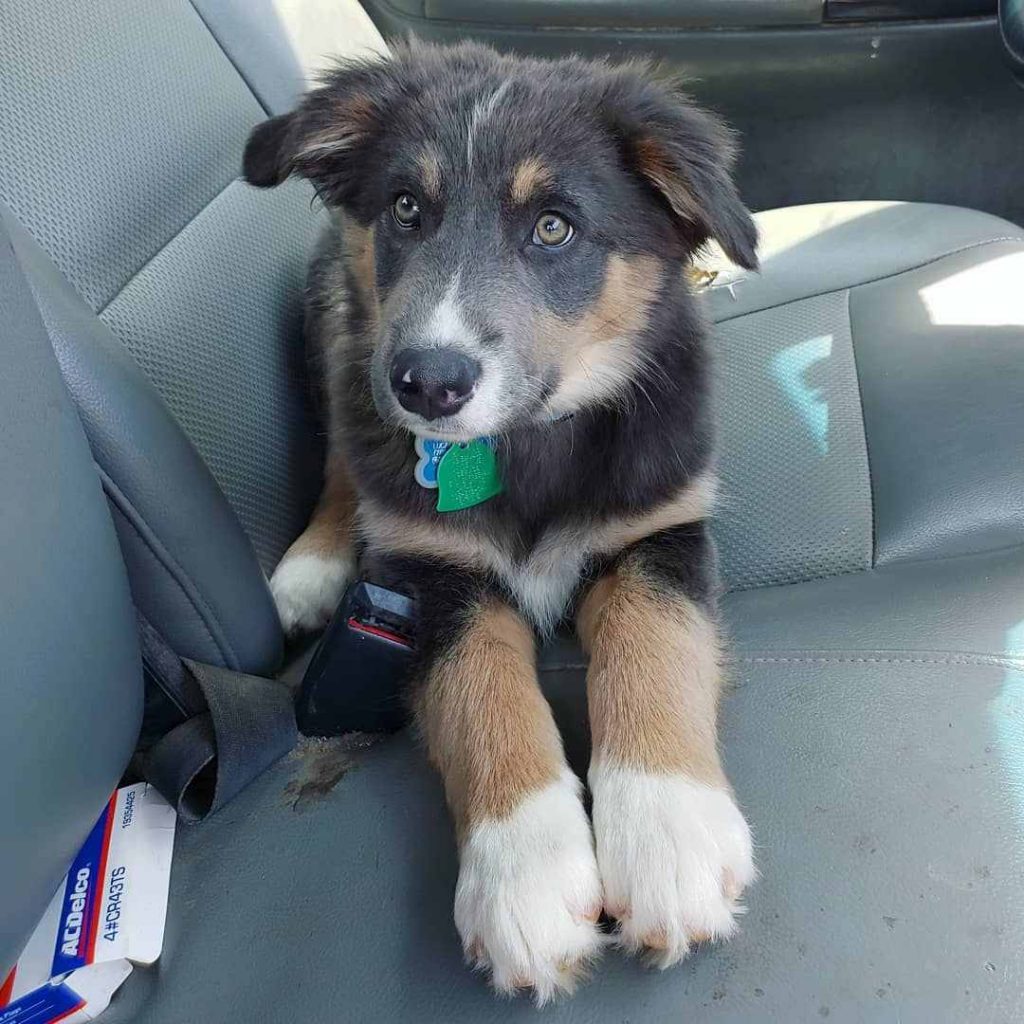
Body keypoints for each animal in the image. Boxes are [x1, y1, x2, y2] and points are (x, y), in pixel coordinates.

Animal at [245, 41, 761, 1007]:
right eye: (406, 209)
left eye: (554, 228)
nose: (427, 383)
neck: (523, 446)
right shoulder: (432, 576)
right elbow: (480, 688)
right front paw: (525, 876)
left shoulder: (660, 531)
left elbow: (656, 644)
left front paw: (667, 833)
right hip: (339, 318)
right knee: (341, 443)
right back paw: (313, 562)